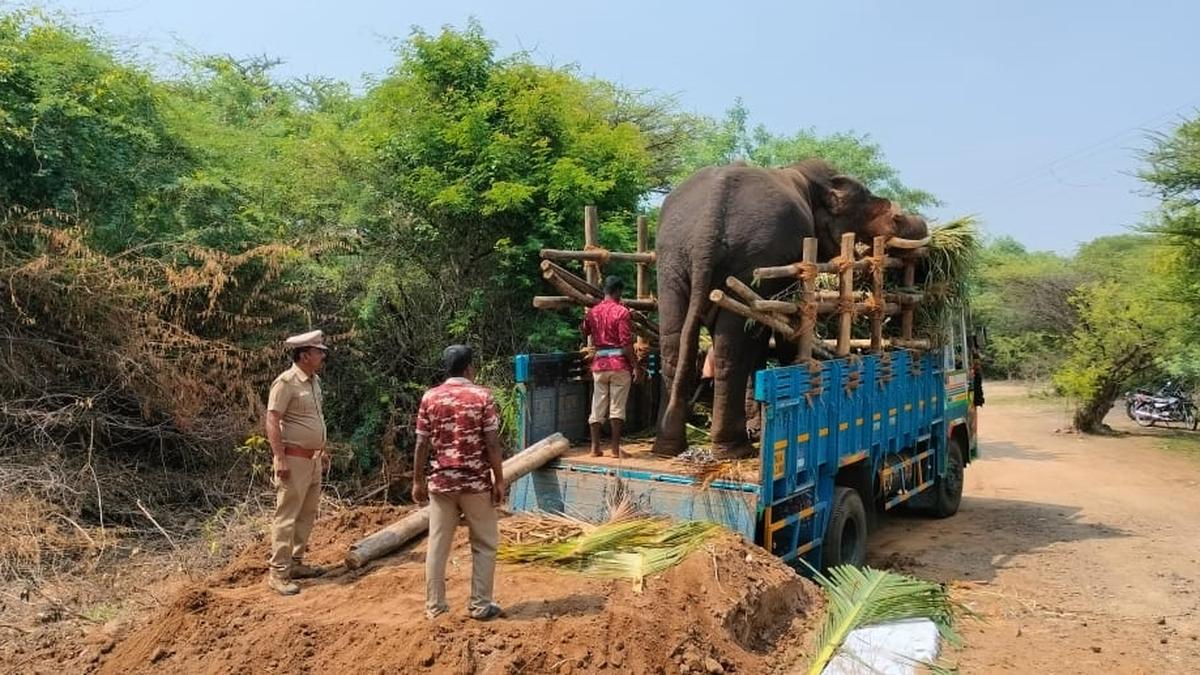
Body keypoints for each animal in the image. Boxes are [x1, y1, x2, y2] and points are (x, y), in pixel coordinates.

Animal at [652, 160, 929, 458]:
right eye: (868, 204)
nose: (901, 217)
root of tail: (708, 225)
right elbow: (786, 327)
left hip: (672, 262)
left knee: (674, 343)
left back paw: (667, 448)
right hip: (750, 260)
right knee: (732, 347)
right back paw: (735, 450)